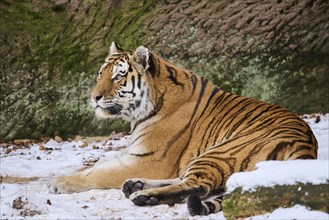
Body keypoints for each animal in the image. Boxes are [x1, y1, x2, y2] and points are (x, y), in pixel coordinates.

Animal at [47, 42, 316, 216]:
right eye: (100, 74)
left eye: (118, 77)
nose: (93, 97)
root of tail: (306, 145)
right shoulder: (134, 152)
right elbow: (101, 162)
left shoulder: (150, 159)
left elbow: (98, 173)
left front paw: (59, 181)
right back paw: (135, 185)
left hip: (220, 151)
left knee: (197, 185)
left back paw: (142, 195)